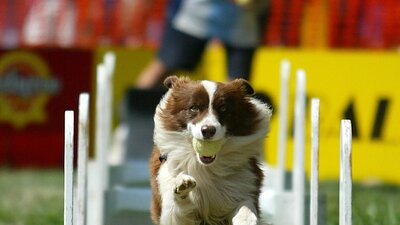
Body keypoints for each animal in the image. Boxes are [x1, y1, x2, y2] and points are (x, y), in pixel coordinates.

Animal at [149, 76, 272, 225]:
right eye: (194, 108)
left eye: (223, 108)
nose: (208, 130)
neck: (205, 168)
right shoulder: (166, 187)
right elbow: (177, 211)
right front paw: (182, 185)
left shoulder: (244, 183)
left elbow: (245, 207)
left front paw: (246, 219)